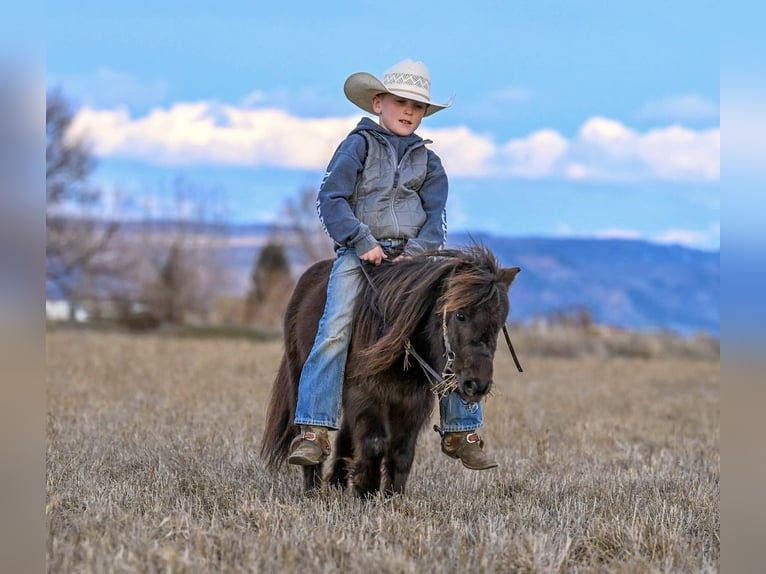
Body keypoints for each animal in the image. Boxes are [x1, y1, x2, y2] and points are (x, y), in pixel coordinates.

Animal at [260, 245, 520, 497]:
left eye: (499, 323)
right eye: (460, 315)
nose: (477, 385)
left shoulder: (412, 403)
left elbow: (402, 451)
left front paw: (392, 496)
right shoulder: (365, 394)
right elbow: (375, 443)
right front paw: (366, 490)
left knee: (346, 436)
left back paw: (337, 484)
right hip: (299, 376)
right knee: (309, 430)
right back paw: (313, 487)